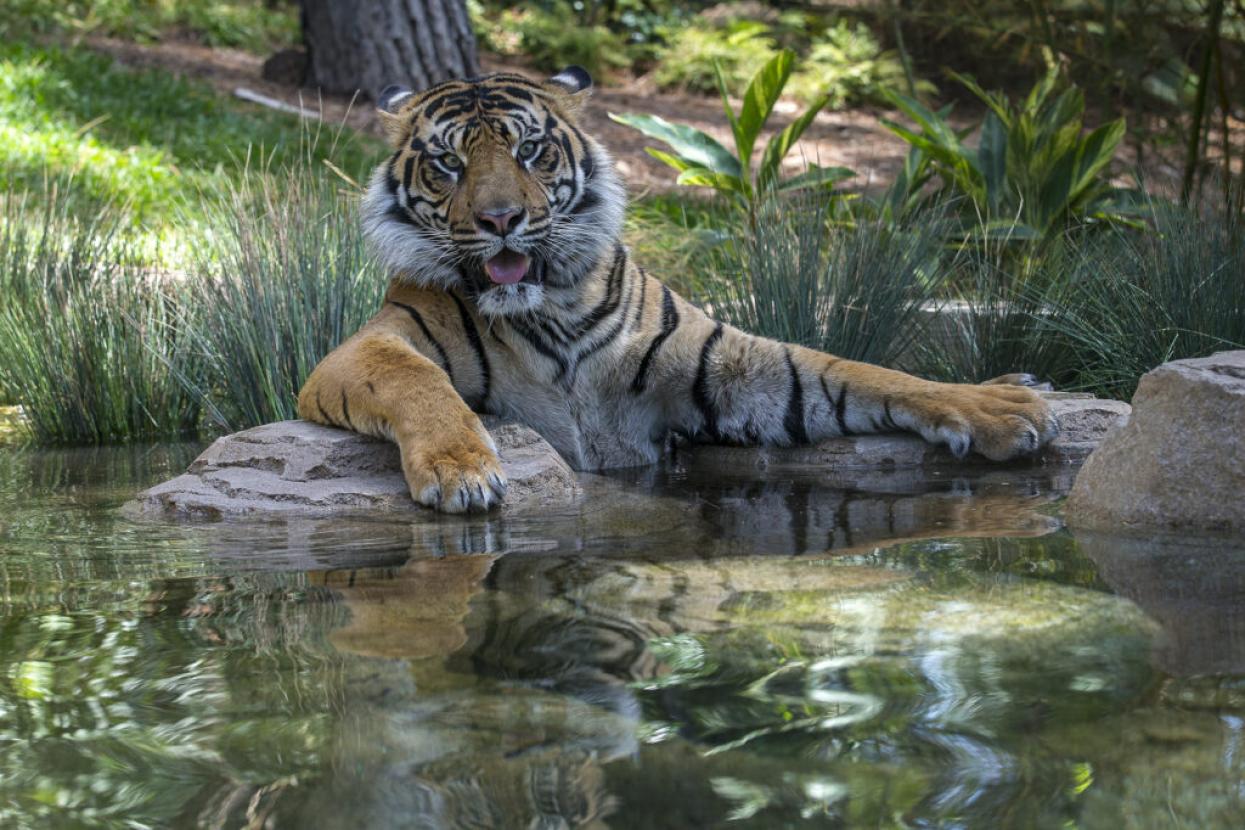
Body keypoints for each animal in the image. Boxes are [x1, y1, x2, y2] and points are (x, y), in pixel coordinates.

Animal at [297, 66, 1058, 513]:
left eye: (529, 151)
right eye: (449, 164)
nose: (500, 219)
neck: (552, 310)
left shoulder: (727, 367)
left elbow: (862, 371)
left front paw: (1003, 404)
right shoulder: (366, 347)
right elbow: (417, 379)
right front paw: (463, 470)